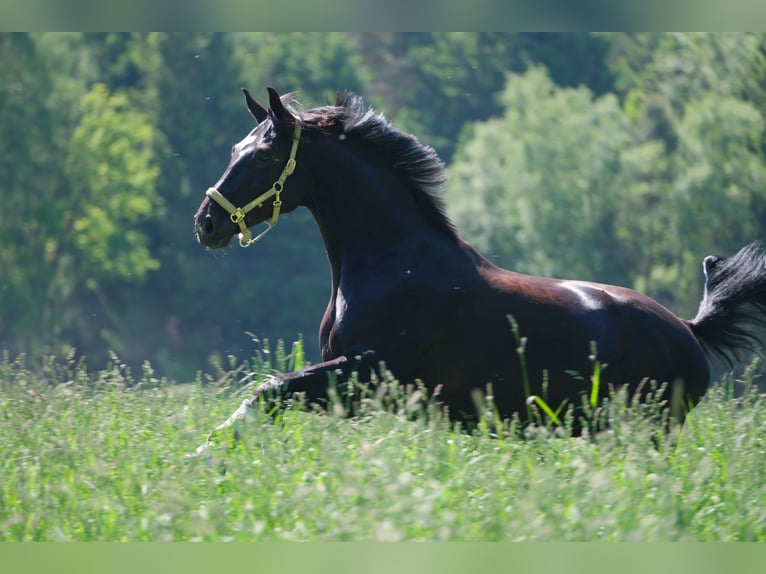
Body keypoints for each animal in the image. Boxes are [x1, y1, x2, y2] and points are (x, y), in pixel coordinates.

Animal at [193, 86, 766, 439]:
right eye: (236, 148)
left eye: (265, 154)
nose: (206, 223)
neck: (394, 265)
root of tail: (688, 329)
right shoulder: (356, 390)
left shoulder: (365, 370)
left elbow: (265, 391)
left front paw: (207, 454)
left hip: (646, 431)